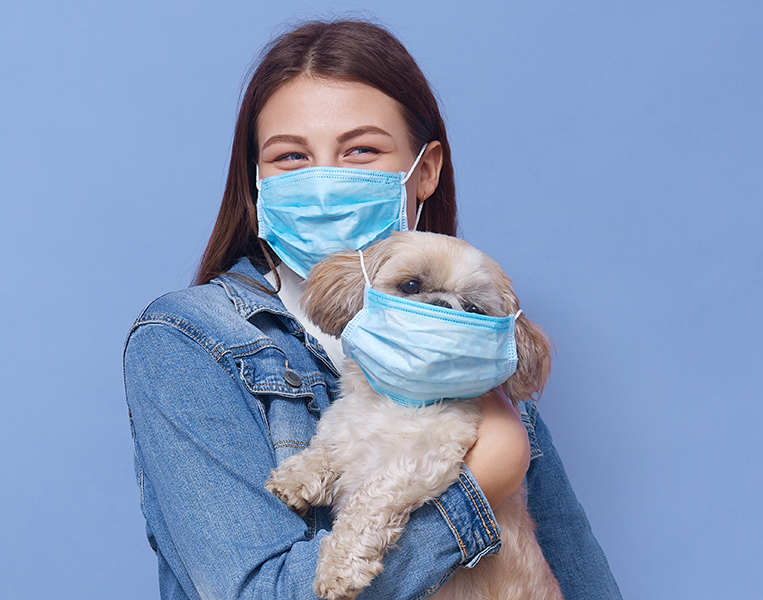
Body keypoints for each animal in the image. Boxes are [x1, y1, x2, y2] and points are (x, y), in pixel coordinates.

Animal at [268, 231, 560, 600]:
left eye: (474, 310)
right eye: (411, 285)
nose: (442, 306)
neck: (401, 402)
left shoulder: (424, 459)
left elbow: (369, 499)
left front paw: (339, 565)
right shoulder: (346, 423)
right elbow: (326, 447)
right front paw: (297, 476)